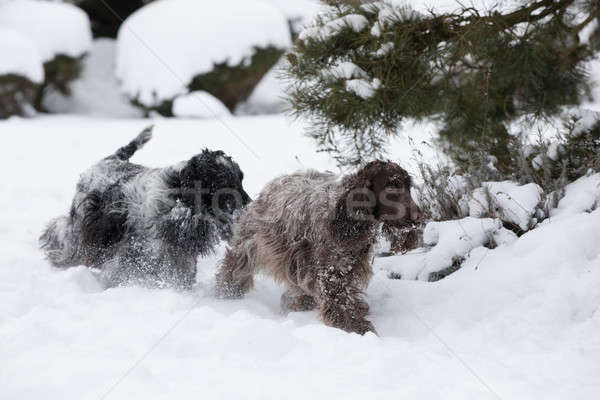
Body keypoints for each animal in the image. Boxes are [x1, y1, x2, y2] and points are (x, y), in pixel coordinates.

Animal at [39, 126, 251, 286]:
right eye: (223, 183)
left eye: (241, 180)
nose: (249, 207)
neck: (176, 201)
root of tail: (111, 159)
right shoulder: (133, 253)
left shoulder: (177, 254)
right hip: (79, 224)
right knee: (61, 235)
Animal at [217, 161, 422, 332]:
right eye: (391, 187)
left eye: (408, 187)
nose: (419, 217)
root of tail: (275, 182)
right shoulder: (331, 270)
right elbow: (339, 297)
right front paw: (353, 325)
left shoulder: (349, 266)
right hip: (250, 245)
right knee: (235, 268)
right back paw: (225, 294)